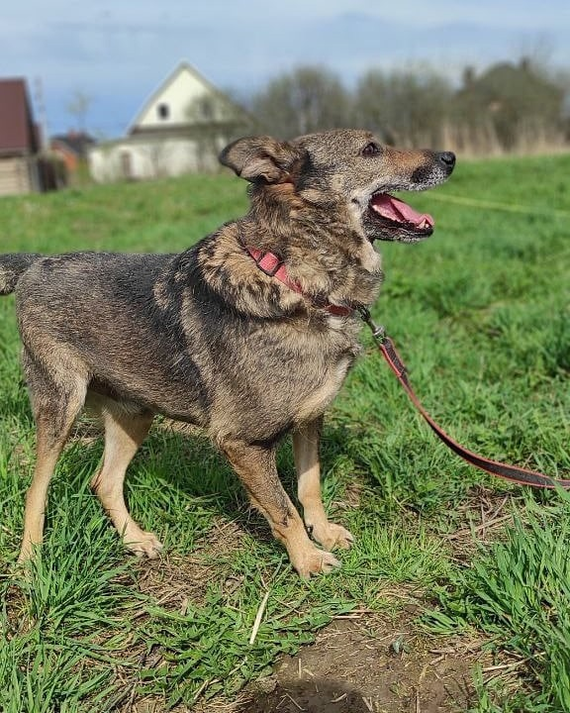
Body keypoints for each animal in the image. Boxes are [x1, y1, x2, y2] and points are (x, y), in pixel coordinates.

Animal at [0, 131, 452, 580]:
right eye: (371, 149)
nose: (450, 158)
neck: (296, 279)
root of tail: (35, 264)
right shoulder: (242, 441)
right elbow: (284, 509)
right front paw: (307, 560)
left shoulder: (310, 419)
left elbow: (310, 487)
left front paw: (322, 534)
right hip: (61, 405)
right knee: (37, 488)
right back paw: (30, 561)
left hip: (135, 413)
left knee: (104, 482)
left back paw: (135, 540)